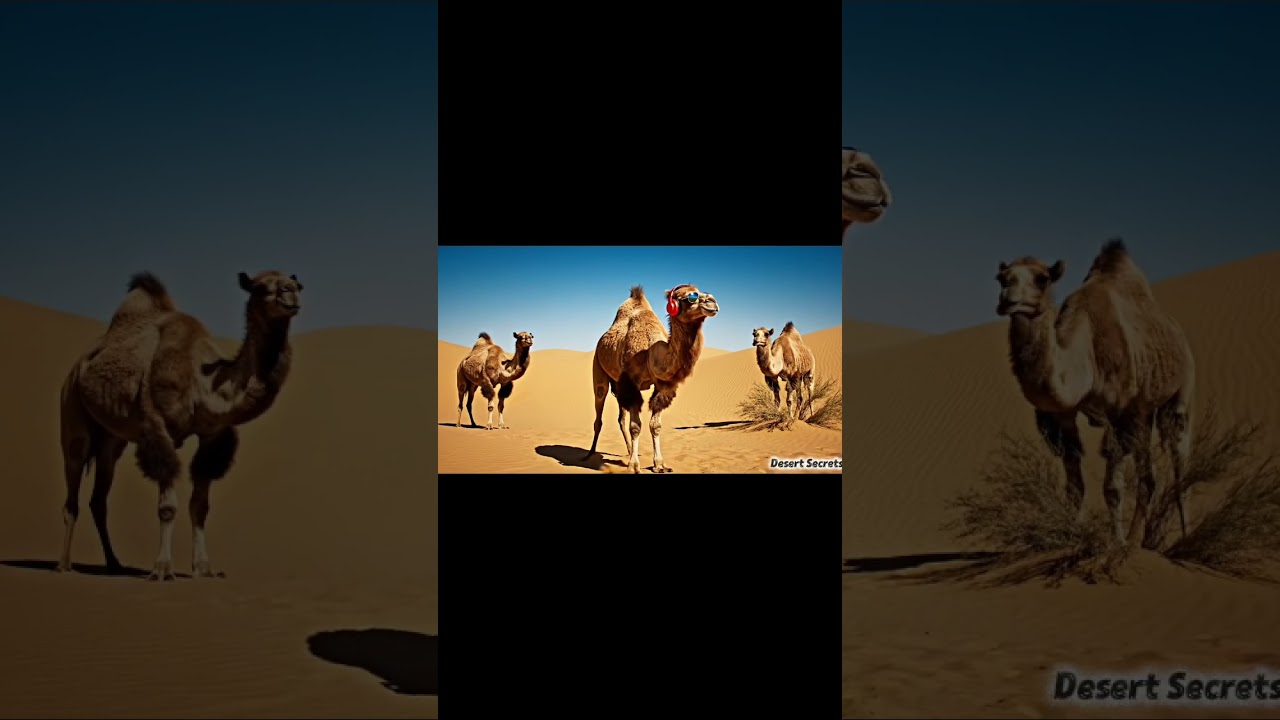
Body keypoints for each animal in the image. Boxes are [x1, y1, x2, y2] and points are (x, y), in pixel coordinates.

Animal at [59, 270, 302, 580]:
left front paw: (204, 567)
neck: (204, 382)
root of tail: (80, 364)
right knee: (73, 480)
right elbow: (167, 507)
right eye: (259, 288)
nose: (290, 292)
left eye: (297, 284)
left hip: (112, 439)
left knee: (99, 497)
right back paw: (63, 564)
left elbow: (200, 506)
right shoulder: (157, 428)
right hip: (71, 408)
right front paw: (162, 568)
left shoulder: (213, 436)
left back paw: (114, 563)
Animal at [585, 284, 719, 473]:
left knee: (621, 419)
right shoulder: (631, 383)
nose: (712, 301)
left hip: (618, 384)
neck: (650, 353)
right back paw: (590, 454)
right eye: (690, 296)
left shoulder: (661, 386)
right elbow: (636, 427)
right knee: (599, 411)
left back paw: (628, 451)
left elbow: (655, 426)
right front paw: (634, 466)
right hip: (598, 368)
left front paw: (659, 464)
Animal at [995, 239, 1195, 549]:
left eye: (1042, 278)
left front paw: (1117, 543)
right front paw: (1071, 536)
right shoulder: (1064, 415)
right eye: (1001, 278)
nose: (1007, 298)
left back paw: (1173, 540)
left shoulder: (1118, 413)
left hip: (1180, 388)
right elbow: (1075, 486)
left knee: (1177, 463)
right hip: (1144, 411)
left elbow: (1112, 488)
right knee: (1148, 476)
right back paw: (1142, 540)